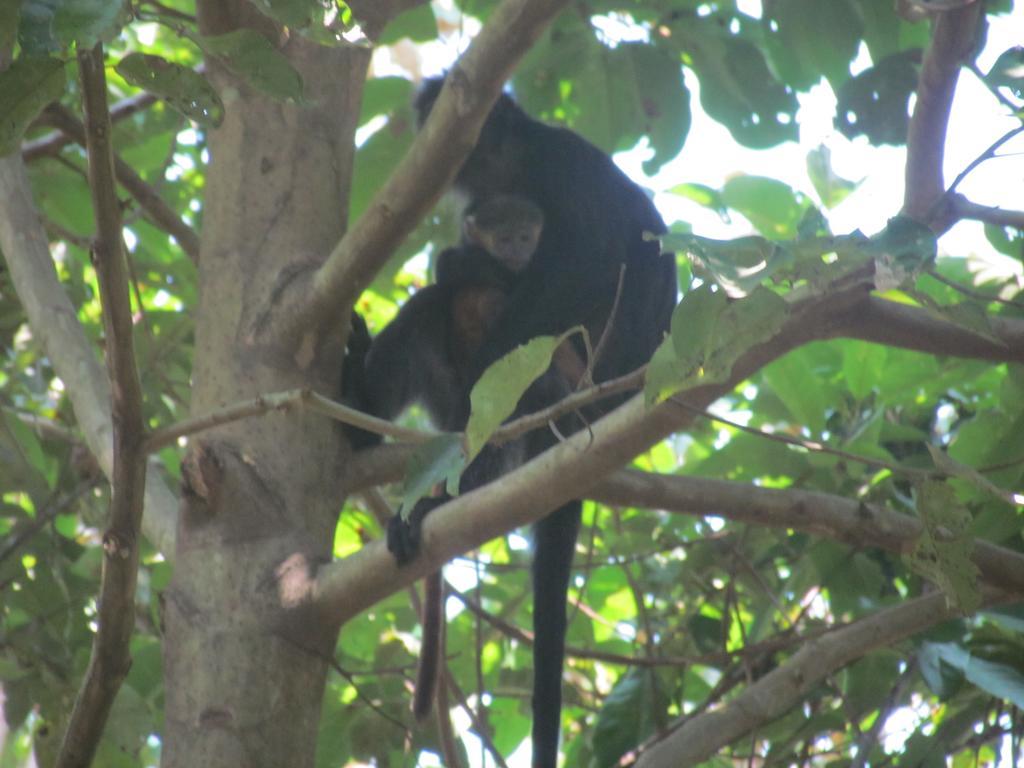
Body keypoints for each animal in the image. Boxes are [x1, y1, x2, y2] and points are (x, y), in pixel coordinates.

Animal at [378, 78, 679, 768]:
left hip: (586, 378)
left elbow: (589, 256)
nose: (464, 138)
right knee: (434, 310)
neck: (510, 165)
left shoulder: (560, 165)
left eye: (490, 124)